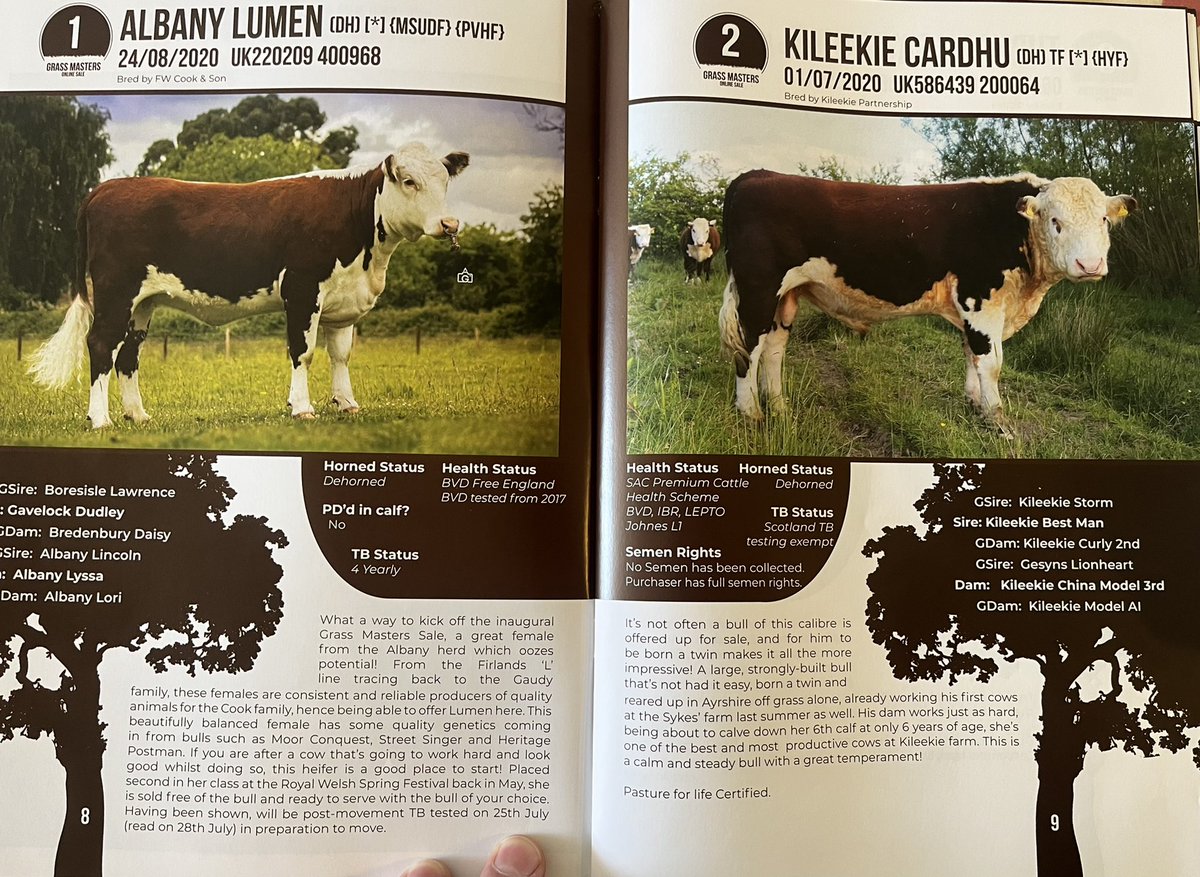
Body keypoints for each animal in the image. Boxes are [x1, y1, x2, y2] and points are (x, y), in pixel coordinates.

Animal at [29, 142, 469, 428]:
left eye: (446, 181)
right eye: (408, 181)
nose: (449, 223)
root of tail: (107, 187)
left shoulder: (343, 300)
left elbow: (341, 355)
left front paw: (347, 404)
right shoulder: (302, 289)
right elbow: (303, 352)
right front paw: (302, 407)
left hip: (142, 303)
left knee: (128, 355)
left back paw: (138, 415)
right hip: (115, 291)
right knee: (101, 345)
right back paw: (100, 419)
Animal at [718, 171, 1135, 431]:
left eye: (1103, 220)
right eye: (1055, 221)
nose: (1090, 265)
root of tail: (755, 176)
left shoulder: (976, 309)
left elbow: (971, 355)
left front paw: (975, 408)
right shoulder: (980, 299)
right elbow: (991, 363)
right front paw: (998, 423)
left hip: (785, 296)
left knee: (774, 347)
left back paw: (780, 407)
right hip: (758, 289)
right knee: (749, 349)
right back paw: (751, 413)